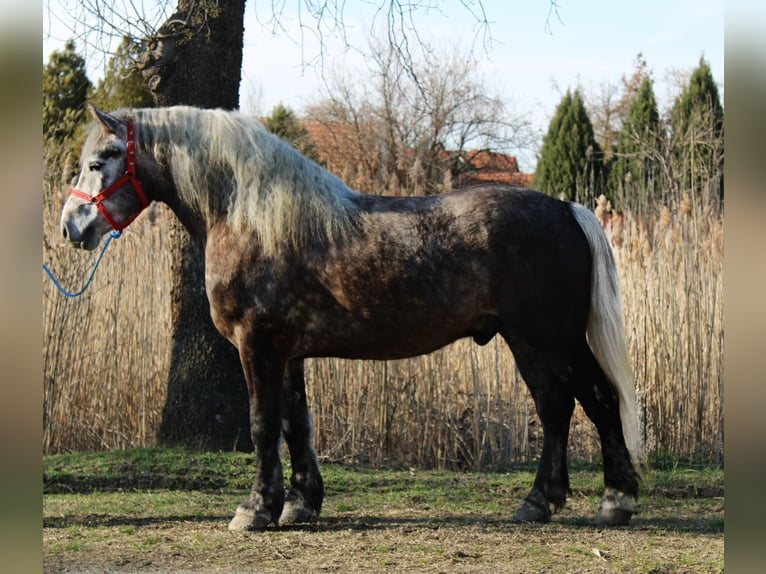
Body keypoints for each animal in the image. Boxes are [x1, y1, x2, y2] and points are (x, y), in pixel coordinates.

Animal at [59, 104, 642, 530]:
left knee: (590, 401)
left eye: (102, 159)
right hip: (535, 343)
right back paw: (549, 502)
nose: (71, 226)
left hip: (551, 341)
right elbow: (296, 424)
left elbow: (261, 423)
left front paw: (255, 509)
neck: (251, 218)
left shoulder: (257, 345)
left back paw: (608, 499)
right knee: (562, 408)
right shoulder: (287, 353)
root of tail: (567, 209)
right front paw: (300, 505)